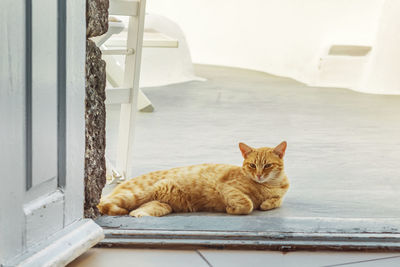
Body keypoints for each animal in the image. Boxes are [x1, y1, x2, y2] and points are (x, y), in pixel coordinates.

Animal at [98, 142, 290, 218]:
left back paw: (137, 214)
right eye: (252, 165)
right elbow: (247, 204)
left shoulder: (280, 195)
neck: (269, 185)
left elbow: (277, 201)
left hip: (160, 205)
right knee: (102, 204)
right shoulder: (226, 187)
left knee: (137, 211)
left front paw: (267, 203)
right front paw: (232, 209)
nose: (259, 175)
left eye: (267, 166)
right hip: (135, 194)